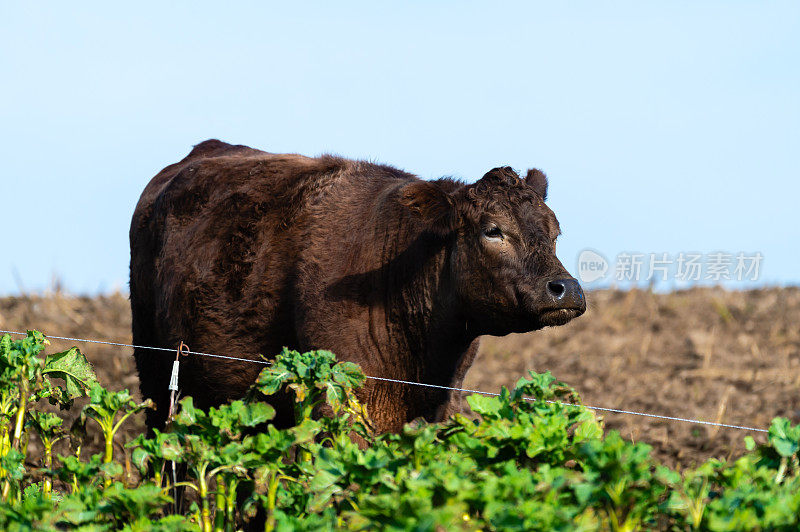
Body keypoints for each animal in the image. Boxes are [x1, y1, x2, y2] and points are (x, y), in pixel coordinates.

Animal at [128, 140, 584, 432]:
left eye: (555, 231)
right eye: (493, 230)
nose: (566, 288)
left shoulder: (444, 402)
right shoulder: (341, 400)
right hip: (157, 373)